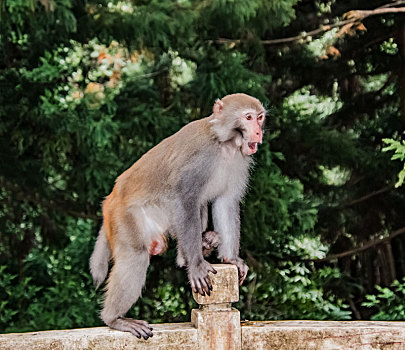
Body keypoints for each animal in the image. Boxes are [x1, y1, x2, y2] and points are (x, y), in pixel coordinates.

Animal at [89, 93, 266, 340]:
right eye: (247, 118)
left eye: (259, 118)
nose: (258, 132)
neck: (225, 145)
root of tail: (110, 198)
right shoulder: (200, 158)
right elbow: (185, 198)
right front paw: (196, 265)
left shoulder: (240, 162)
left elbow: (225, 202)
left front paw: (231, 259)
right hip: (124, 216)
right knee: (136, 256)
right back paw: (115, 319)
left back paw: (199, 247)